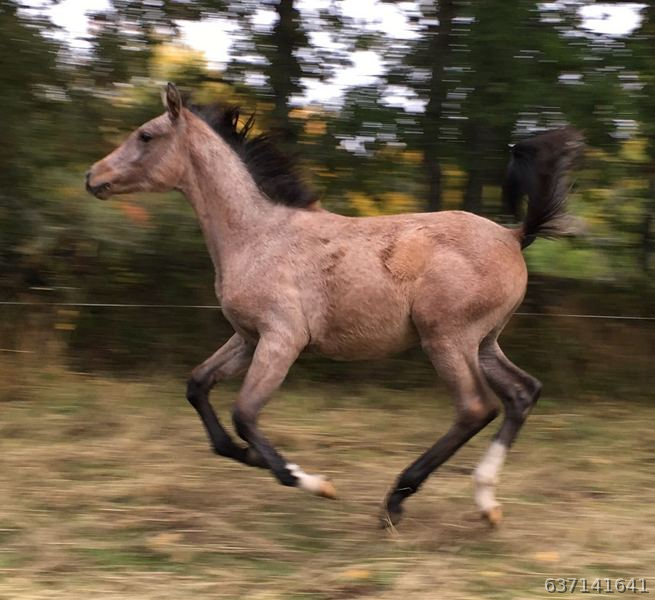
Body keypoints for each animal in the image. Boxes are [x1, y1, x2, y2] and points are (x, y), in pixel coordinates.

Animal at [86, 83, 584, 527]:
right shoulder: (247, 338)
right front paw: (251, 457)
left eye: (145, 136)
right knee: (522, 392)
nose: (93, 177)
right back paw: (485, 503)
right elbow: (198, 387)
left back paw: (397, 500)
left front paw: (312, 481)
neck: (258, 234)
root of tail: (513, 235)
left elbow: (244, 413)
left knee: (476, 407)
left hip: (447, 338)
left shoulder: (282, 338)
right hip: (483, 343)